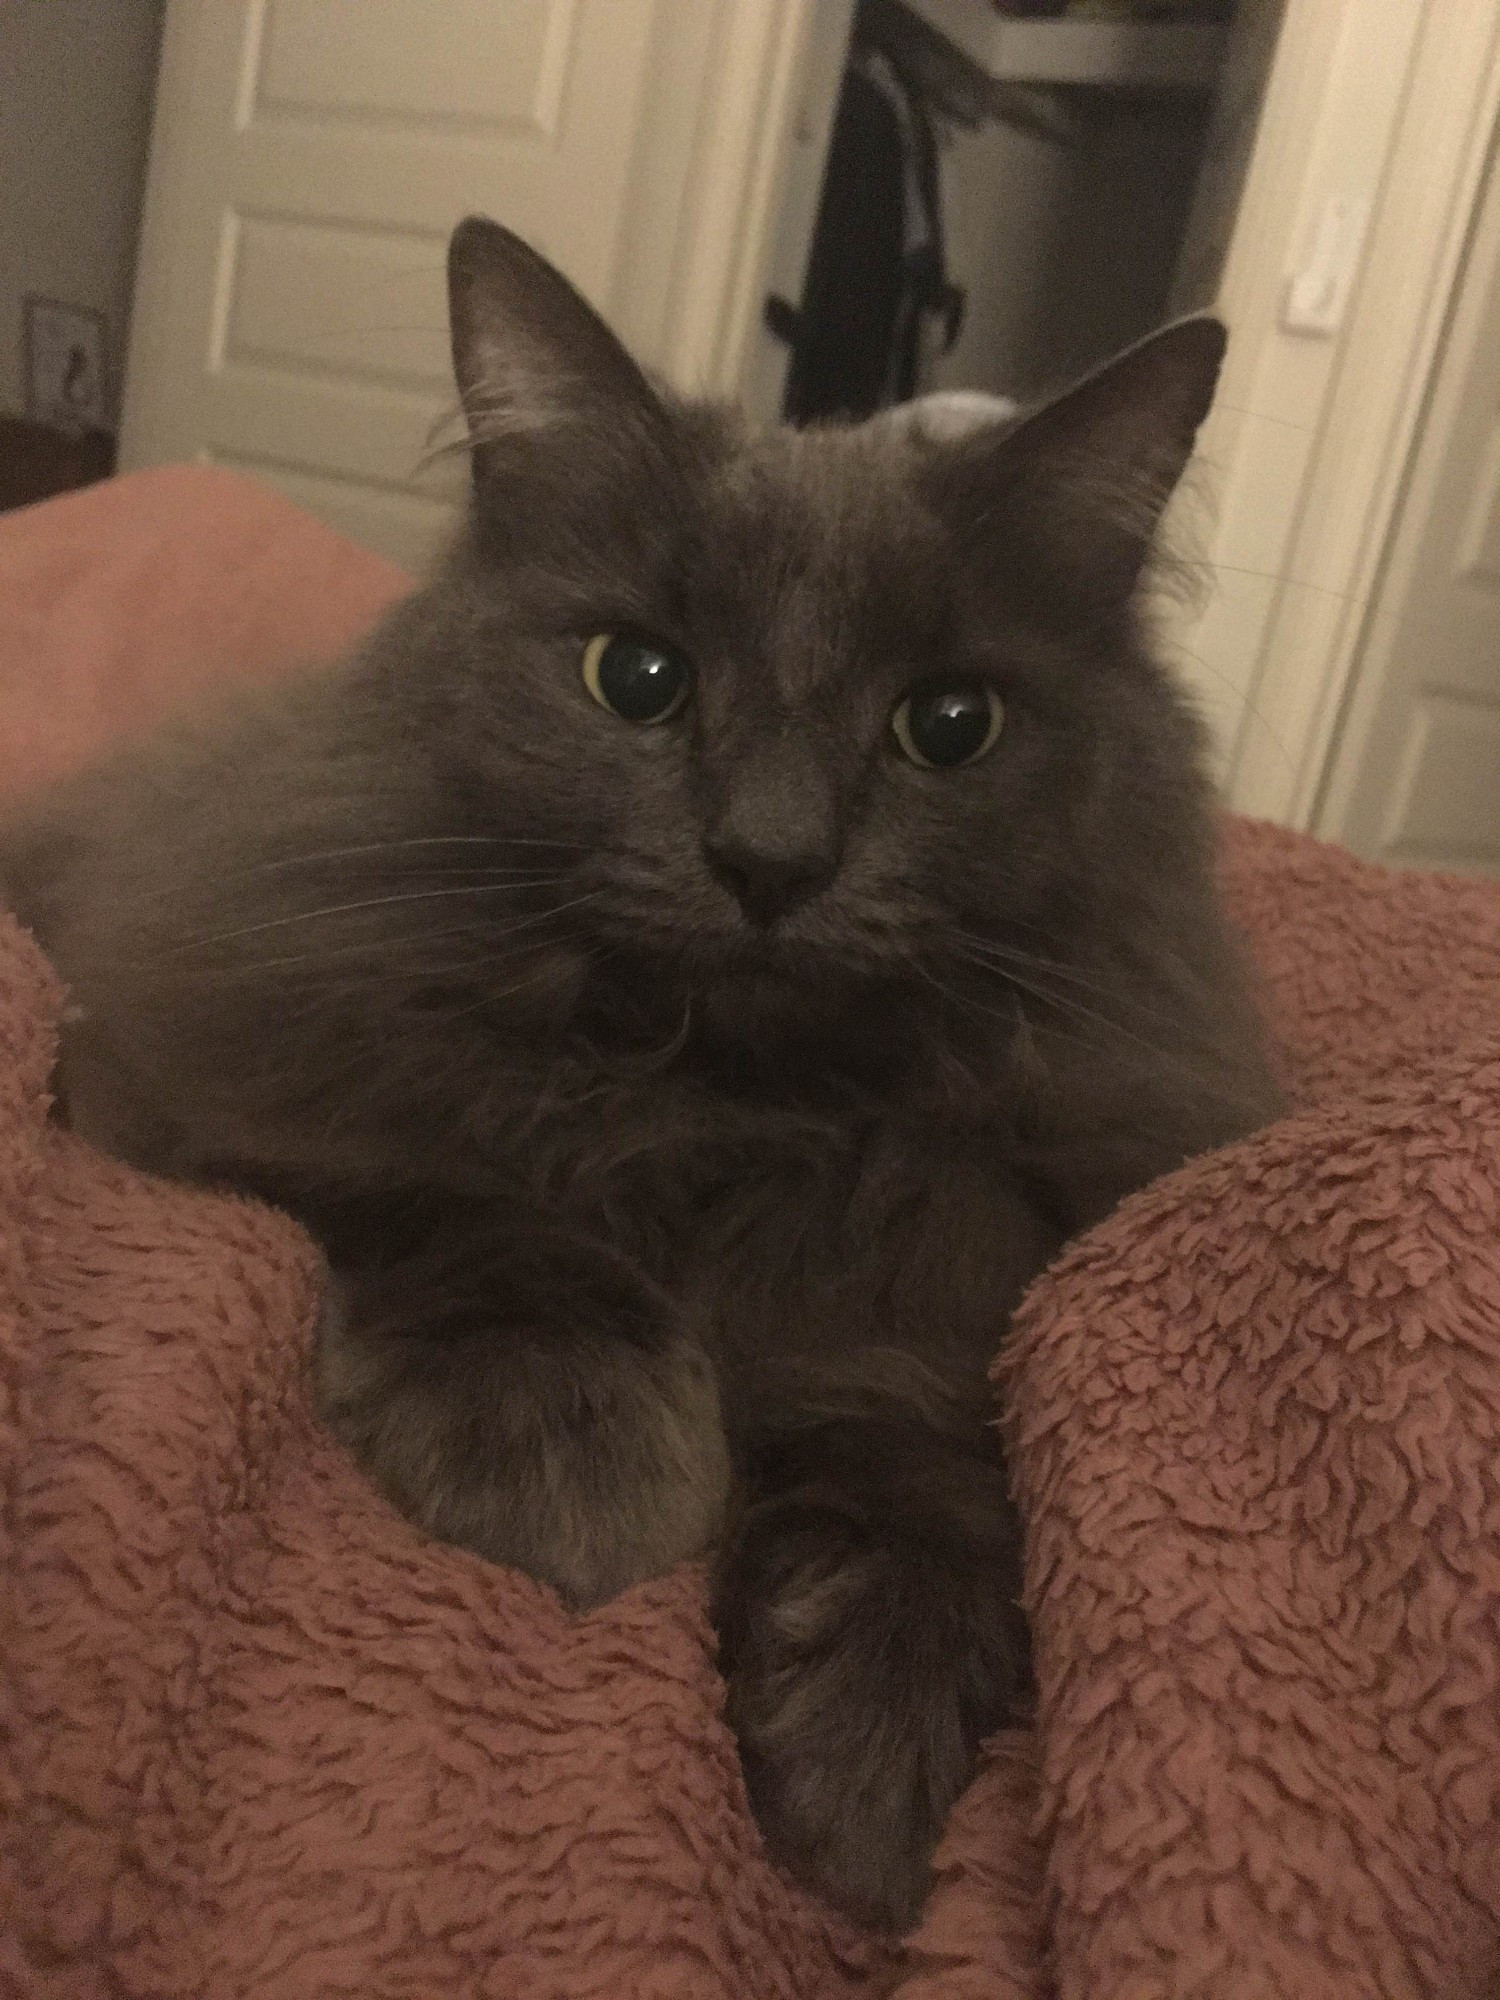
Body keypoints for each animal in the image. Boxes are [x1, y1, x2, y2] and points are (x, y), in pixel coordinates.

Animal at [5, 223, 1288, 1936]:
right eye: (639, 676)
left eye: (951, 724)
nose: (770, 858)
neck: (718, 1102)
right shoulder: (208, 1061)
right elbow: (466, 1210)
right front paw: (584, 1463)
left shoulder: (935, 1293)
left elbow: (919, 1475)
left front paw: (868, 1759)